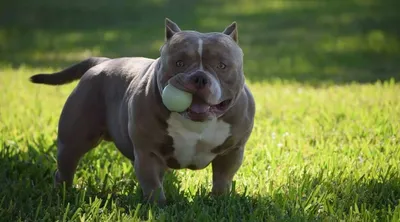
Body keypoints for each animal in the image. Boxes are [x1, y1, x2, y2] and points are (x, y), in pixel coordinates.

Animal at [30, 18, 256, 206]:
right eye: (179, 63)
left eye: (222, 66)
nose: (199, 78)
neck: (196, 124)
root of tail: (103, 62)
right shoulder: (148, 152)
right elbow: (152, 183)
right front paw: (158, 207)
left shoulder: (232, 152)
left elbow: (222, 180)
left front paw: (219, 201)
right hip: (74, 140)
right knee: (66, 166)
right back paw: (64, 193)